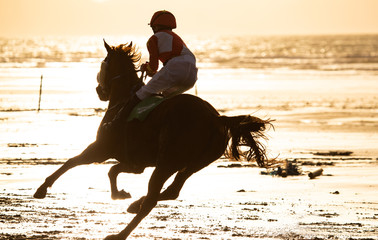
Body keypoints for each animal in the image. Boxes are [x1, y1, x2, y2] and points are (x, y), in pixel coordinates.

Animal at [33, 40, 272, 239]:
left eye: (103, 65)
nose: (99, 90)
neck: (122, 99)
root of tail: (216, 118)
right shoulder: (136, 163)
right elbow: (113, 170)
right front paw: (120, 194)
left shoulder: (101, 148)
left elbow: (72, 162)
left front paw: (42, 188)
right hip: (192, 164)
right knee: (171, 191)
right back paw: (135, 205)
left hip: (167, 162)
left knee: (152, 199)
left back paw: (120, 233)